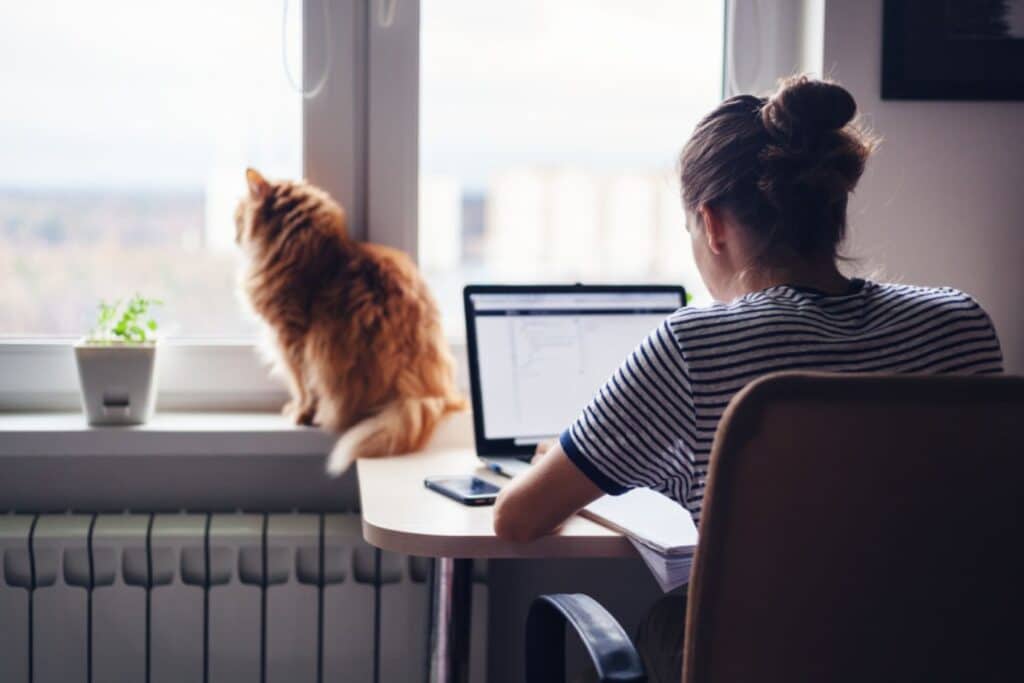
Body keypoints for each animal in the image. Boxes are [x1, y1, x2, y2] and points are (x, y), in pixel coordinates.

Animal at [234, 167, 466, 475]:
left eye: (238, 215)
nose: (234, 234)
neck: (311, 252)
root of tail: (421, 392)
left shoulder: (291, 338)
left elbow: (302, 386)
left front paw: (300, 412)